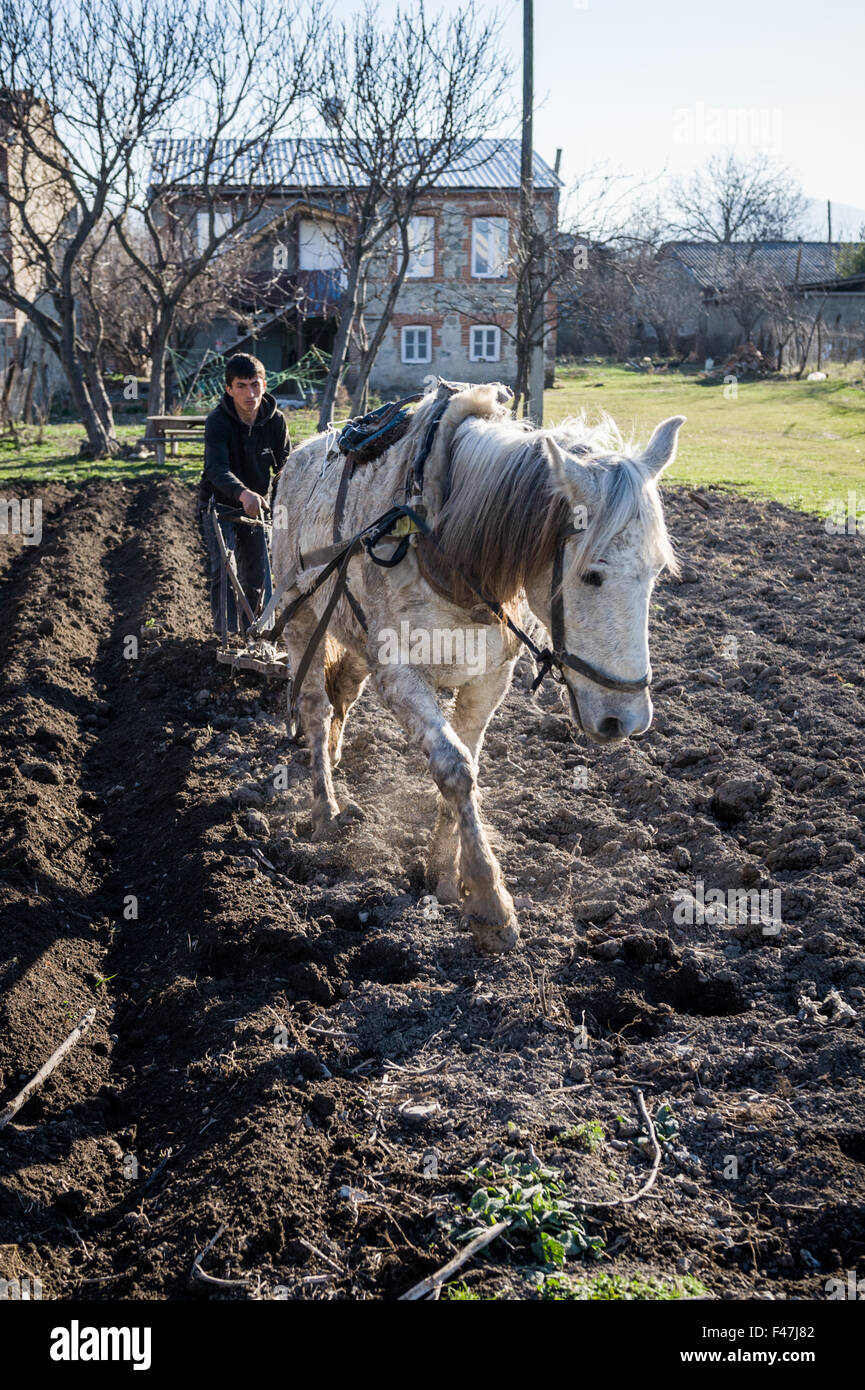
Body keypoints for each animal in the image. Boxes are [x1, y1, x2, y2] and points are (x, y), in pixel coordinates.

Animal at [268, 381, 683, 952]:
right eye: (592, 575)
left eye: (657, 570)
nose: (628, 718)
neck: (444, 542)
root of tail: (301, 455)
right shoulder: (399, 676)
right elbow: (455, 768)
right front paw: (488, 900)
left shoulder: (489, 679)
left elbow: (467, 765)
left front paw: (445, 874)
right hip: (302, 613)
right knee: (313, 705)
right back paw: (325, 808)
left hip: (349, 629)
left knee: (342, 696)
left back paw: (330, 758)